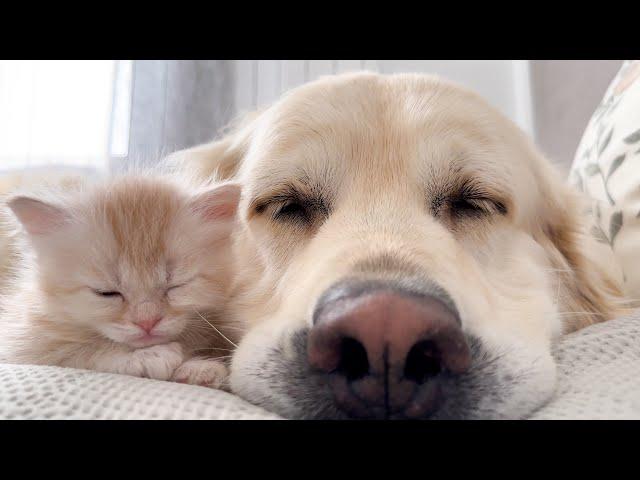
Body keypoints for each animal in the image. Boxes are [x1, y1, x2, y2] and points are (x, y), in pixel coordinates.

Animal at [0, 174, 242, 388]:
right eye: (106, 292)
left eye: (176, 285)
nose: (147, 322)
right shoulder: (21, 341)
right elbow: (80, 353)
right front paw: (148, 356)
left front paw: (200, 369)